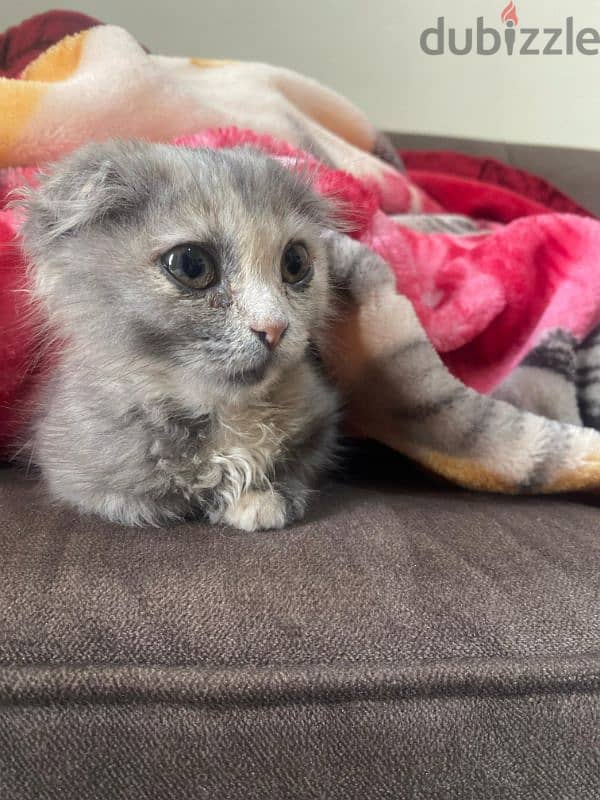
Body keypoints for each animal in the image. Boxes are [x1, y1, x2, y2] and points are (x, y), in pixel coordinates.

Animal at [18, 142, 340, 532]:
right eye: (191, 265)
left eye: (295, 262)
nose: (275, 327)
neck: (227, 411)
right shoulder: (79, 471)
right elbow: (150, 499)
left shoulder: (320, 420)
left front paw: (262, 497)